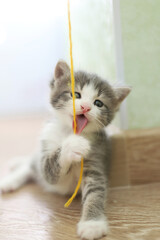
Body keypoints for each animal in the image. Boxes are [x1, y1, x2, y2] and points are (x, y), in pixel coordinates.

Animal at [0, 61, 130, 240]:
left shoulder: (96, 157)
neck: (70, 131)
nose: (85, 107)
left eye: (98, 103)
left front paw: (92, 224)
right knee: (31, 165)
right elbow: (49, 169)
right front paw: (73, 145)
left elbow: (95, 192)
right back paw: (10, 180)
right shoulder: (47, 145)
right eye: (76, 94)